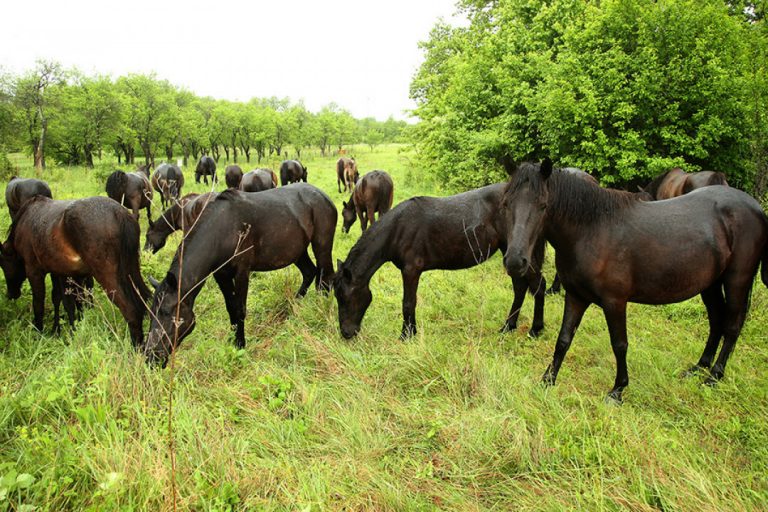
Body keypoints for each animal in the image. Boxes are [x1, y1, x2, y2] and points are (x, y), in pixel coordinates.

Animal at [0, 196, 152, 344]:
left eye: (3, 265)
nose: (11, 294)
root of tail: (120, 214)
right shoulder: (63, 273)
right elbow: (67, 301)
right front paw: (63, 330)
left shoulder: (34, 271)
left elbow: (39, 304)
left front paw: (39, 334)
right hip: (131, 270)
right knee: (147, 300)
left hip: (108, 276)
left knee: (130, 310)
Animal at [144, 182, 336, 366]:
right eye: (152, 313)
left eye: (166, 312)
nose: (151, 358)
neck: (223, 228)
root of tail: (323, 196)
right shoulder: (221, 275)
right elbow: (231, 308)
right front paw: (233, 341)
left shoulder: (242, 272)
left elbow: (239, 309)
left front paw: (240, 345)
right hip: (297, 251)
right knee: (310, 273)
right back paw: (293, 308)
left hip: (322, 246)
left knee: (325, 279)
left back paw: (321, 309)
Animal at [334, 183, 544, 340]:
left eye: (344, 297)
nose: (346, 333)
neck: (398, 229)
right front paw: (411, 332)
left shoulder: (411, 270)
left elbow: (408, 303)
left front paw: (406, 336)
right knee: (520, 287)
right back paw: (508, 327)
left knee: (538, 285)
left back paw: (535, 330)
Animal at [500, 162, 764, 402]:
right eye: (506, 204)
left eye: (543, 206)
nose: (515, 261)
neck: (592, 231)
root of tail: (755, 208)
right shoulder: (576, 296)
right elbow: (564, 339)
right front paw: (548, 380)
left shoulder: (615, 302)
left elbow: (619, 344)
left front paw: (618, 390)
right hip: (709, 284)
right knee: (716, 320)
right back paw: (699, 367)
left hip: (737, 281)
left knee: (731, 327)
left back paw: (714, 376)